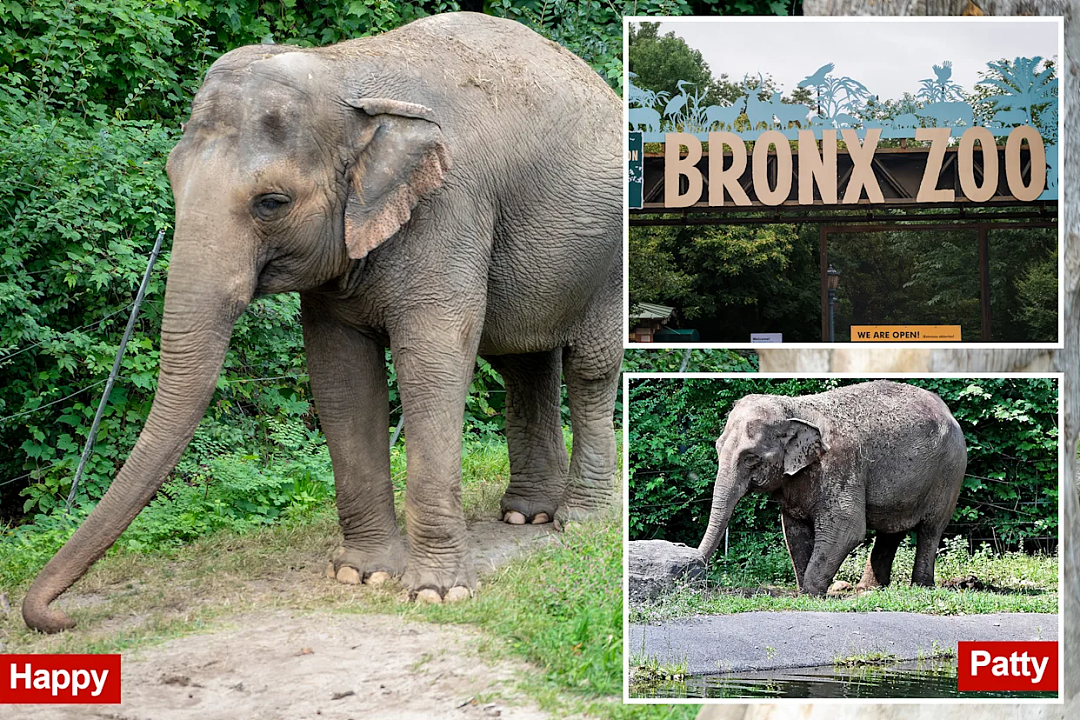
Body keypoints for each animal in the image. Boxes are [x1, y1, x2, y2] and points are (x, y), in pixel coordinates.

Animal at [22, 12, 622, 633]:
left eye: (271, 202)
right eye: (171, 176)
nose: (58, 618)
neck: (346, 73)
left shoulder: (450, 210)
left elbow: (431, 368)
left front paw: (437, 594)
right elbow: (341, 377)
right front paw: (362, 575)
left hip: (612, 253)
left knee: (589, 367)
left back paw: (580, 521)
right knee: (523, 364)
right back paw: (527, 517)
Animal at [697, 381, 967, 596]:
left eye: (750, 458)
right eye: (718, 447)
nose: (697, 571)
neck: (794, 408)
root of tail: (947, 410)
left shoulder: (840, 465)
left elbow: (847, 527)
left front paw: (810, 593)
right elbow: (794, 530)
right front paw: (803, 591)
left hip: (949, 473)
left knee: (931, 529)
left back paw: (921, 587)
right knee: (892, 531)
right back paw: (868, 589)